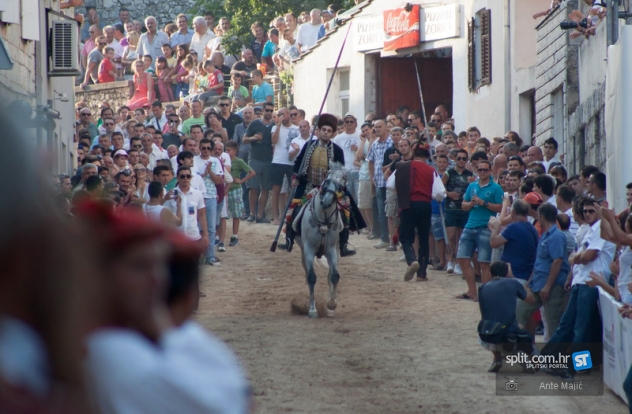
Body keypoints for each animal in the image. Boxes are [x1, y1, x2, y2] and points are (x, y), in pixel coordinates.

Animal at [293, 165, 347, 319]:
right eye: (326, 182)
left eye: (340, 187)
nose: (326, 202)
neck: (324, 220)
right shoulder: (309, 250)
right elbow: (311, 277)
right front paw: (312, 309)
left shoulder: (331, 250)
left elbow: (334, 276)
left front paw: (331, 305)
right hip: (303, 253)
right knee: (307, 275)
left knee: (330, 275)